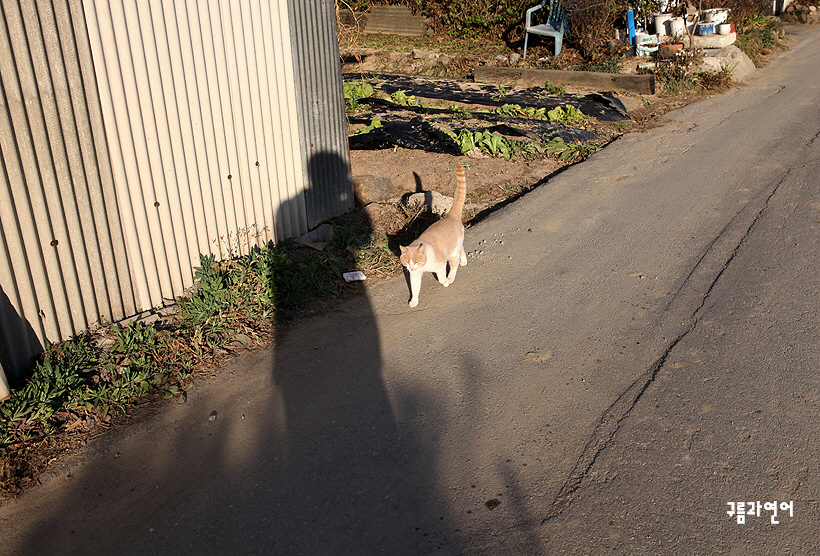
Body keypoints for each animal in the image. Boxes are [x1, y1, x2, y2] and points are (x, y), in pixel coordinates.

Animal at [398, 161, 464, 308]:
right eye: (407, 261)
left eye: (416, 261)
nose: (411, 267)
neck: (424, 266)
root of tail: (450, 216)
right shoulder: (415, 275)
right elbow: (415, 288)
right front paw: (414, 301)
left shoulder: (440, 265)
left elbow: (441, 277)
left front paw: (445, 282)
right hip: (456, 245)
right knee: (462, 249)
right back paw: (464, 261)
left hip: (452, 252)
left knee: (454, 263)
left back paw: (451, 276)